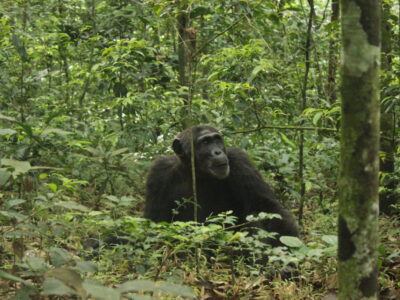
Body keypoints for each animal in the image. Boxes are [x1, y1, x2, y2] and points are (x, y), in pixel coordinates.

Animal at [145, 125, 298, 245]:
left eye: (217, 140)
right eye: (205, 142)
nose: (217, 152)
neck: (197, 173)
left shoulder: (240, 161)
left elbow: (268, 208)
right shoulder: (159, 172)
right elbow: (155, 222)